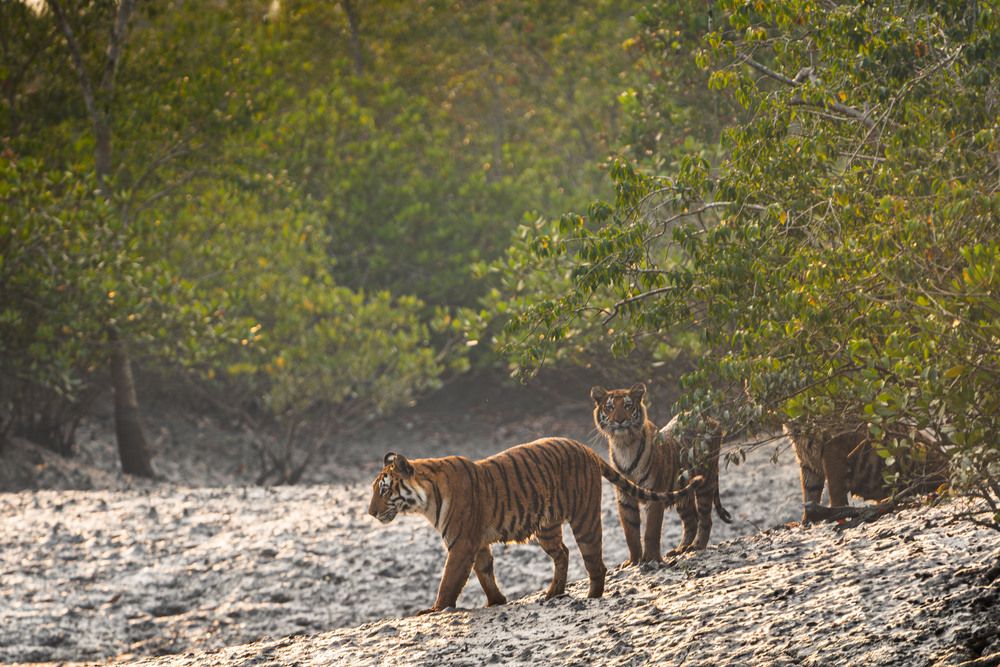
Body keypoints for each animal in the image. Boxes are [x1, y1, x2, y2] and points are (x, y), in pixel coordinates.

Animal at [367, 437, 703, 615]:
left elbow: (449, 581)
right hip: (547, 528)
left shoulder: (461, 545)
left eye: (383, 490)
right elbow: (484, 572)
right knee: (563, 554)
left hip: (583, 518)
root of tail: (584, 447)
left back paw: (592, 597)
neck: (424, 500)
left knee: (595, 562)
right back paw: (553, 592)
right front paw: (497, 601)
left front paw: (435, 609)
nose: (370, 513)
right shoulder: (477, 543)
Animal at [591, 383, 731, 562]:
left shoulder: (655, 493)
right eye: (610, 407)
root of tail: (710, 419)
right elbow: (631, 533)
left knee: (705, 518)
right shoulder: (625, 497)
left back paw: (697, 546)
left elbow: (651, 530)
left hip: (705, 483)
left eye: (627, 406)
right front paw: (633, 561)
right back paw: (680, 549)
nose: (619, 420)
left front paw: (650, 558)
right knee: (691, 520)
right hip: (683, 495)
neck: (624, 445)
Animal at [783, 422, 949, 523]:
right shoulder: (807, 459)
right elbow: (810, 491)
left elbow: (835, 491)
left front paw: (836, 516)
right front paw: (806, 520)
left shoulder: (835, 444)